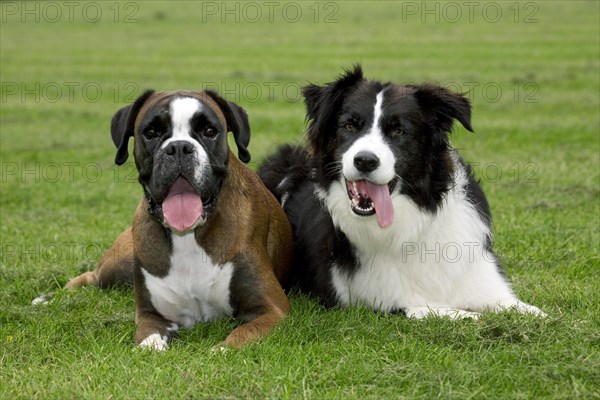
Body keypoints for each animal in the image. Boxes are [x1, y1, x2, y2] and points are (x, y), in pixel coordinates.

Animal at [52, 90, 296, 350]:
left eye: (209, 131)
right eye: (151, 133)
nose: (179, 147)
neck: (188, 237)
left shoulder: (272, 310)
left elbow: (240, 336)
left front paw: (219, 350)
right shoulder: (151, 315)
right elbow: (149, 341)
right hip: (118, 264)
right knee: (90, 276)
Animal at [258, 67, 544, 320]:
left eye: (398, 131)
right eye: (349, 125)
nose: (365, 161)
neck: (411, 225)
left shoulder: (482, 278)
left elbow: (530, 311)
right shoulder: (378, 297)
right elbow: (448, 313)